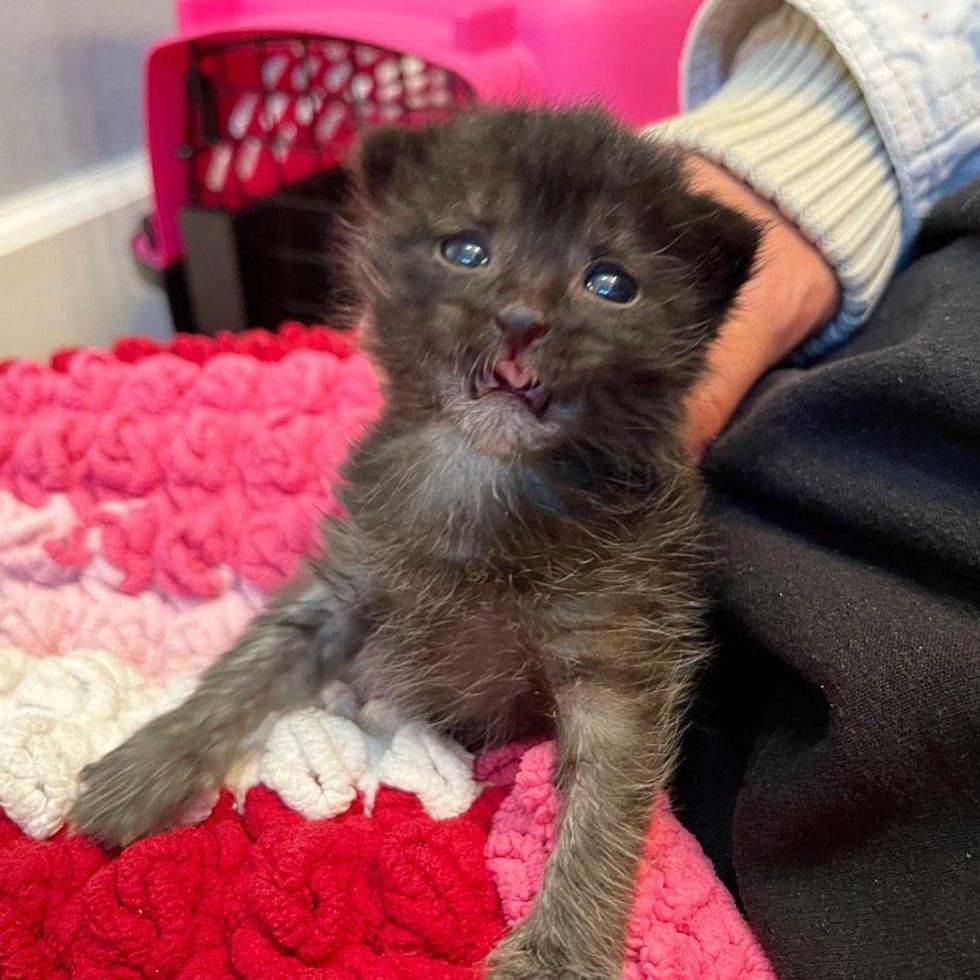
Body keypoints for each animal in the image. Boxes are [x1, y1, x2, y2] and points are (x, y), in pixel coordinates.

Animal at [74, 109, 756, 980]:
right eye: (465, 250)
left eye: (610, 284)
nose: (521, 319)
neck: (486, 473)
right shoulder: (348, 574)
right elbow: (249, 665)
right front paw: (146, 765)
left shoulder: (620, 652)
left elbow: (603, 809)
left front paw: (559, 949)